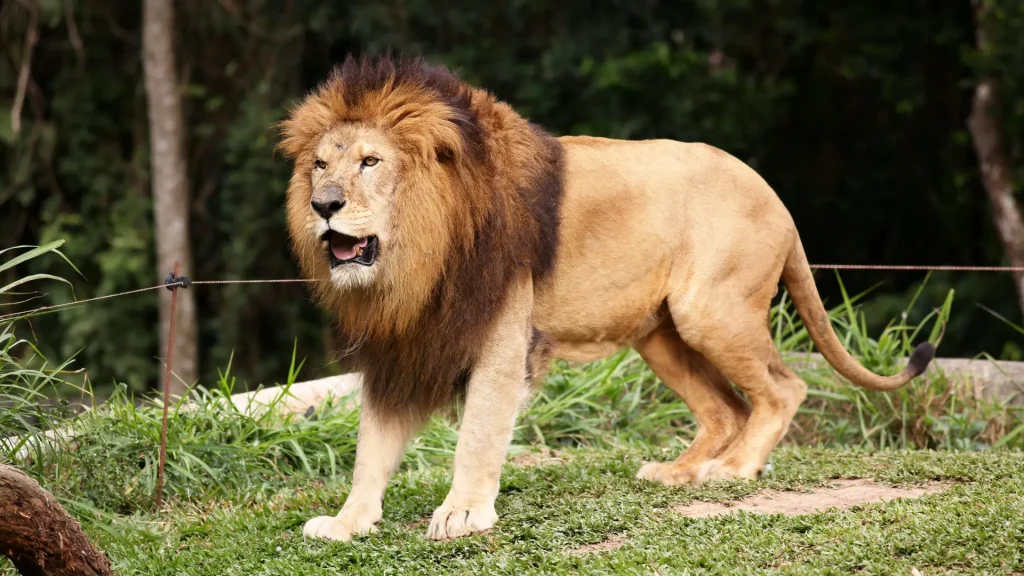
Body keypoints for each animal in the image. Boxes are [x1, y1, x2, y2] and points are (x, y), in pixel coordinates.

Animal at [278, 55, 935, 542]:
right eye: (320, 165)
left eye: (371, 162)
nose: (323, 204)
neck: (417, 258)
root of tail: (774, 195)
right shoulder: (402, 346)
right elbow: (372, 446)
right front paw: (346, 523)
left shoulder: (501, 338)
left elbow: (479, 433)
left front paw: (462, 512)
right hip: (661, 334)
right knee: (728, 408)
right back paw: (677, 473)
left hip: (710, 311)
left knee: (783, 388)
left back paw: (732, 470)